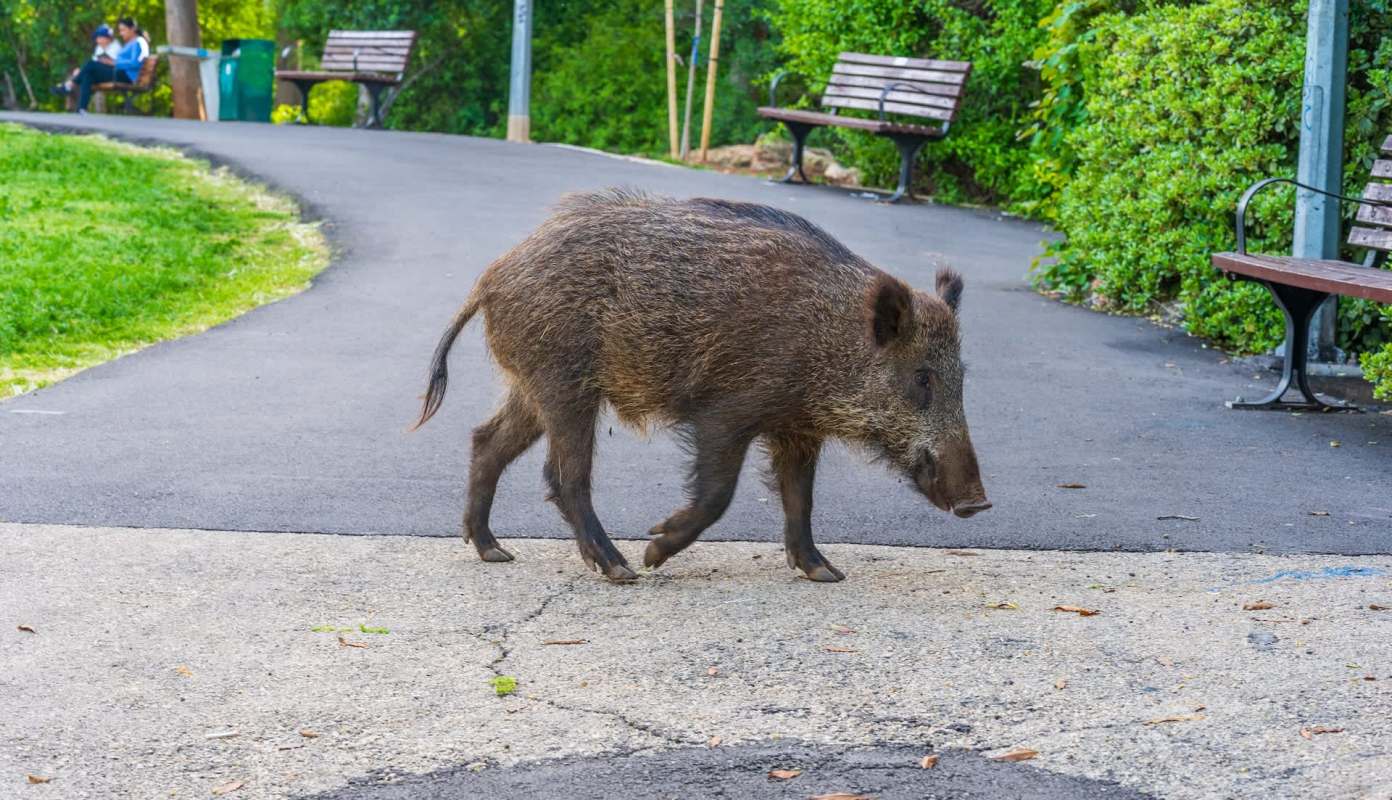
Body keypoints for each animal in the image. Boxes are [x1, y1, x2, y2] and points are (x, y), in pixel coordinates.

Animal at [414, 189, 989, 583]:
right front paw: (654, 547)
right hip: (565, 384)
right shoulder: (725, 412)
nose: (978, 504)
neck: (825, 340)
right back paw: (621, 569)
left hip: (535, 388)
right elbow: (718, 494)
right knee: (563, 475)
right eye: (922, 377)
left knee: (487, 441)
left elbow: (800, 498)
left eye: (963, 378)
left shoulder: (796, 428)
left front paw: (825, 573)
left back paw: (495, 551)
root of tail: (492, 277)